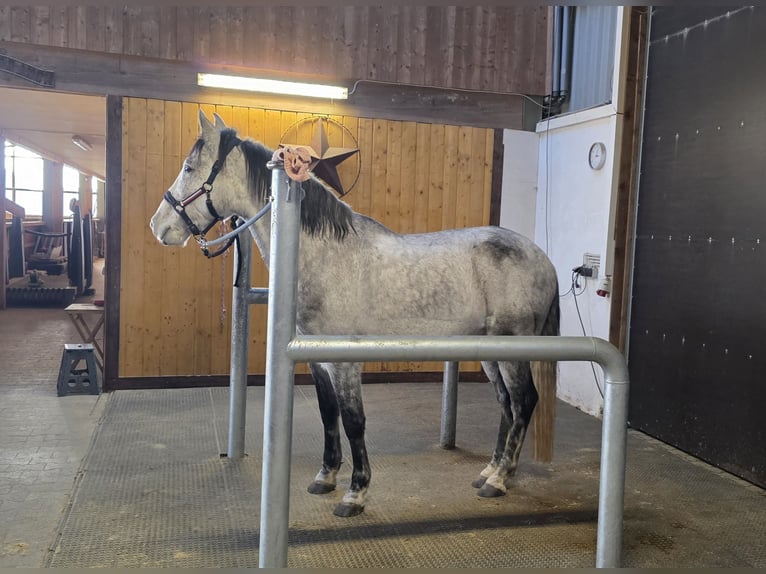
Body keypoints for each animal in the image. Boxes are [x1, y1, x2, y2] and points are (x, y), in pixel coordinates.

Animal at [149, 110, 560, 518]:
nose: (158, 226)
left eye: (189, 167)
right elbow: (327, 413)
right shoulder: (317, 360)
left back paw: (499, 480)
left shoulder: (345, 361)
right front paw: (326, 477)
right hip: (490, 351)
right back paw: (490, 470)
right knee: (506, 404)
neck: (326, 255)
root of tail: (543, 258)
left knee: (524, 402)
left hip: (511, 349)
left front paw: (355, 494)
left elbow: (353, 420)